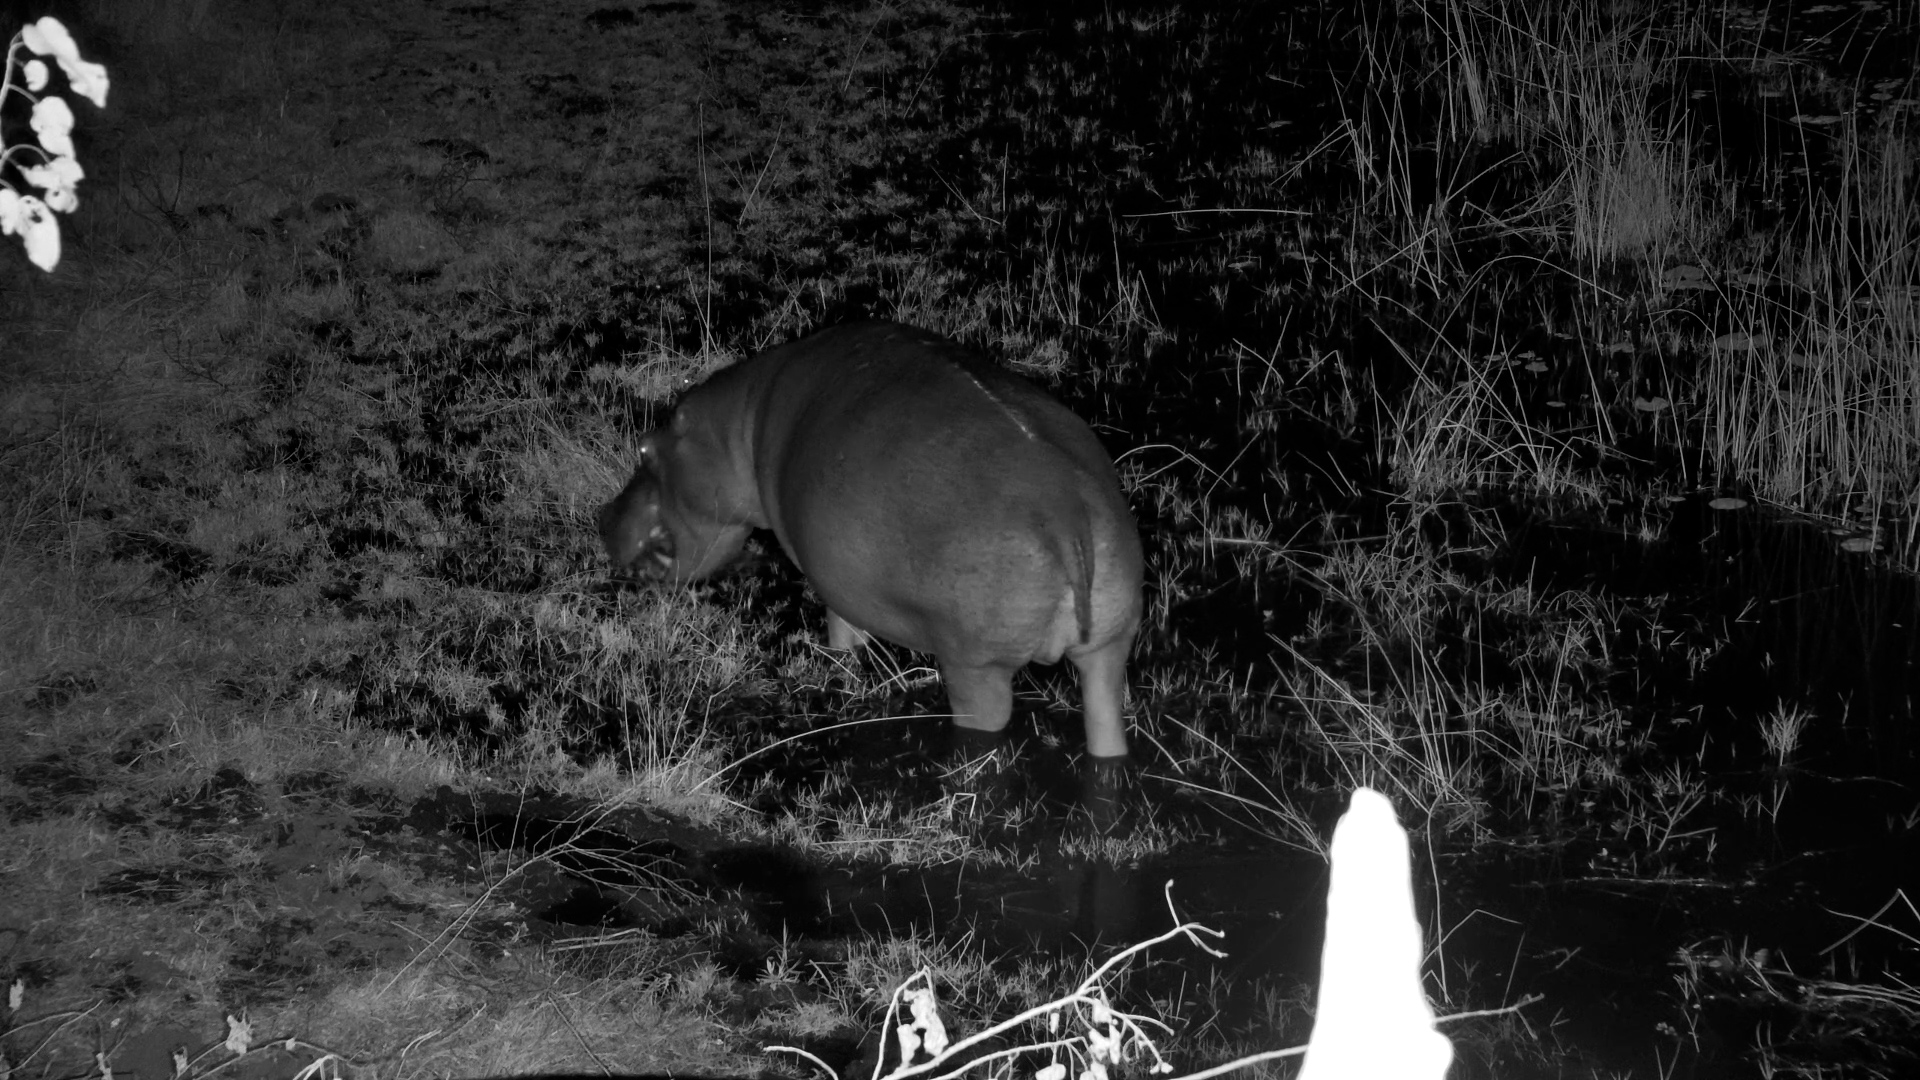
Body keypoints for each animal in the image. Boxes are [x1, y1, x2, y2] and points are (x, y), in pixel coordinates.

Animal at [598, 320, 1143, 759]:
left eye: (643, 448)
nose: (602, 516)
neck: (738, 429)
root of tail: (1066, 512)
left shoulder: (833, 579)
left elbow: (842, 631)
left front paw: (839, 665)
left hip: (977, 667)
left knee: (984, 725)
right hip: (1109, 644)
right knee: (1105, 722)